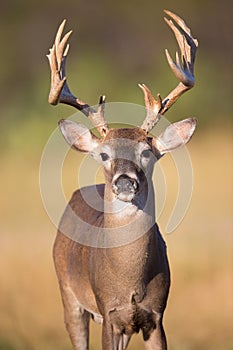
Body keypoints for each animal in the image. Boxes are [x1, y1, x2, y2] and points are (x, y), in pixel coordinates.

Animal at [46, 9, 198, 348]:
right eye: (104, 154)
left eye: (147, 152)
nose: (125, 182)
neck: (129, 282)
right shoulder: (109, 313)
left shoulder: (155, 316)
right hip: (68, 295)